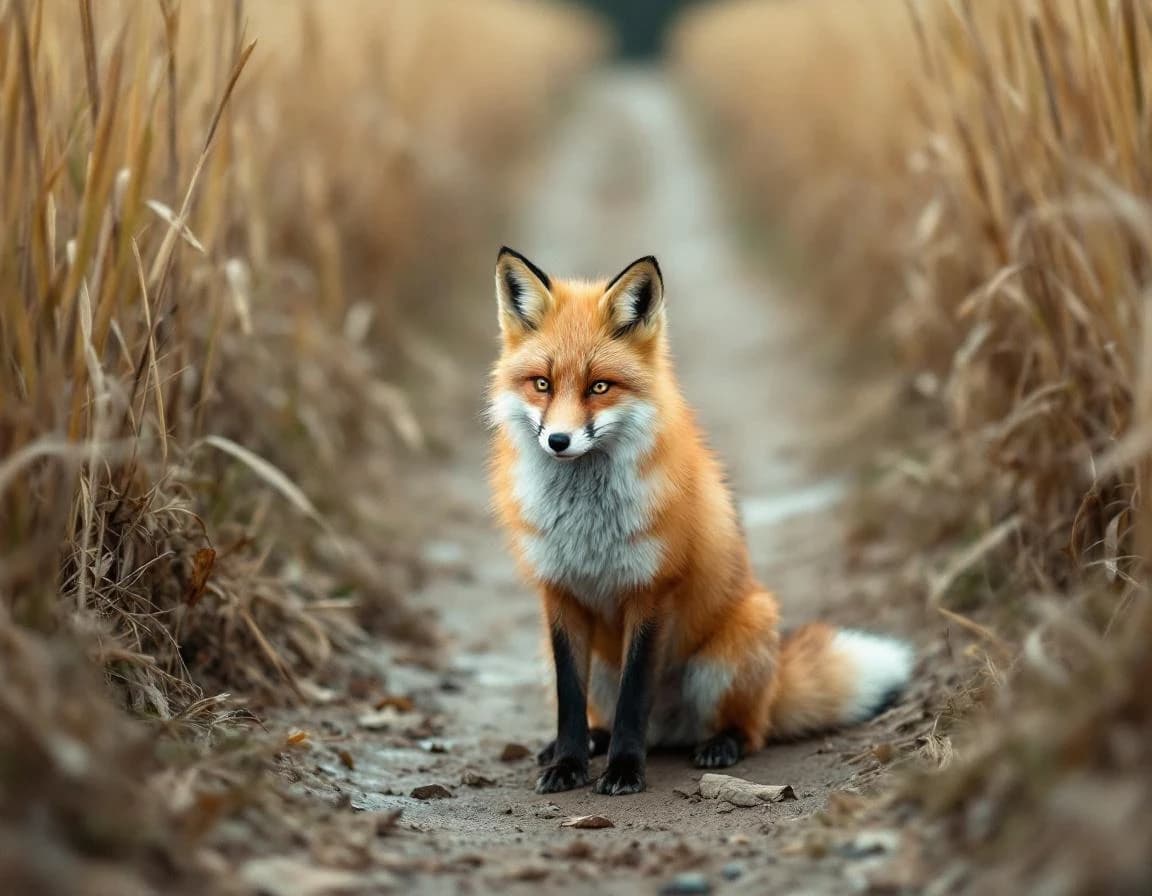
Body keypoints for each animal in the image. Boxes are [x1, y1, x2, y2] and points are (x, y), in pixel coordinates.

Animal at [487, 247, 914, 796]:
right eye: (542, 384)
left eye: (599, 386)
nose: (558, 441)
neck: (588, 523)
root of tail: (671, 730)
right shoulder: (559, 593)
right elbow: (569, 703)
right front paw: (567, 763)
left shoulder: (652, 591)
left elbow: (634, 698)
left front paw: (624, 770)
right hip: (592, 664)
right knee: (603, 715)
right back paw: (595, 742)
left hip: (730, 652)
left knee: (749, 730)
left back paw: (718, 744)